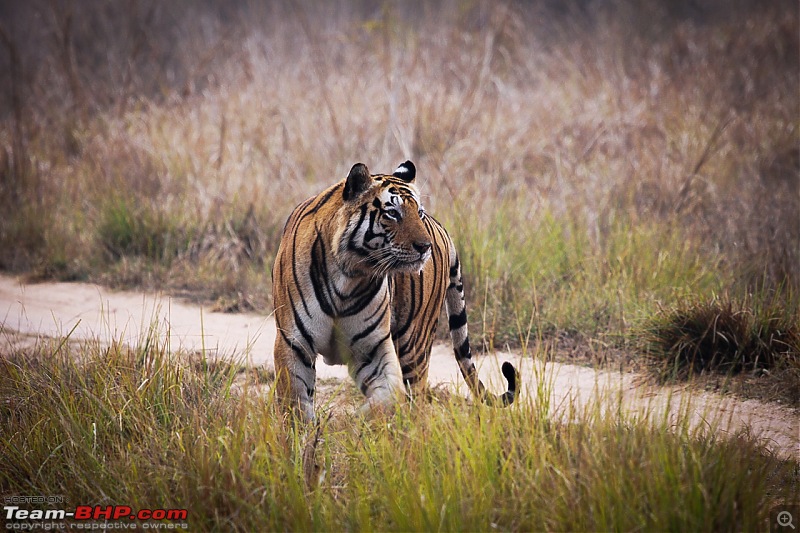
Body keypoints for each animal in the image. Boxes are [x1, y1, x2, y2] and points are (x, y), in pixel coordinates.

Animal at [268, 159, 520, 420]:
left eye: (418, 213)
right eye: (392, 213)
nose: (425, 247)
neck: (349, 278)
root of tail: (441, 229)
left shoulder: (373, 347)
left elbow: (389, 395)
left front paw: (358, 419)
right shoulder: (293, 343)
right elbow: (296, 405)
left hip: (414, 346)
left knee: (416, 398)